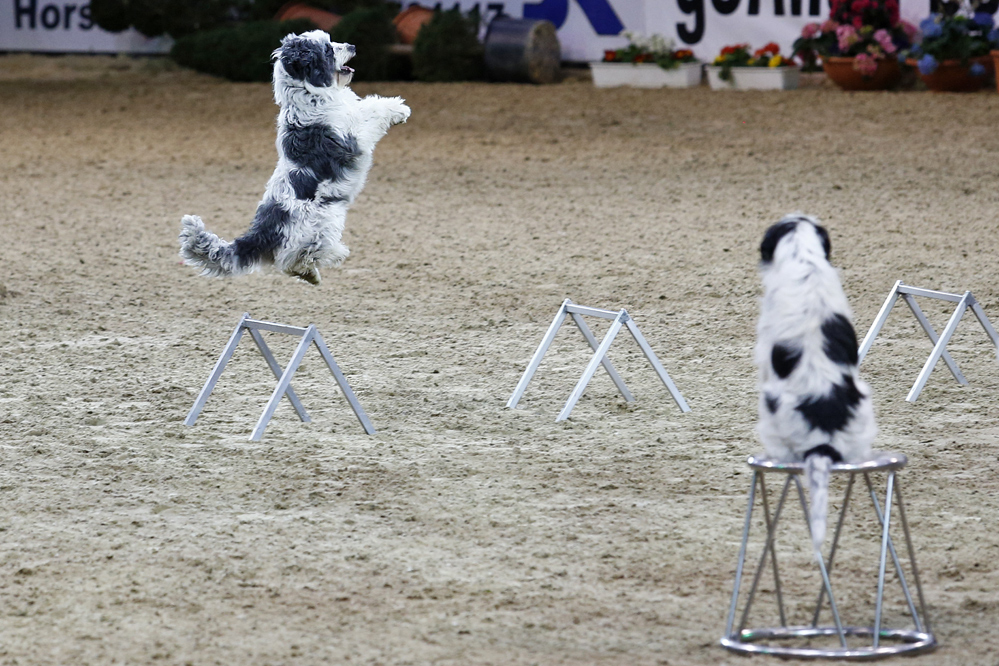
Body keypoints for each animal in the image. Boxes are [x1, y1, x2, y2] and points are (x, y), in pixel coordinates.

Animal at [180, 29, 410, 284]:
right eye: (328, 49)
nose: (352, 46)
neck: (309, 93)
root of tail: (263, 232)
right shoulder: (353, 134)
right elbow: (372, 110)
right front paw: (399, 109)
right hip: (323, 222)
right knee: (296, 257)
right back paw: (332, 257)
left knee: (290, 263)